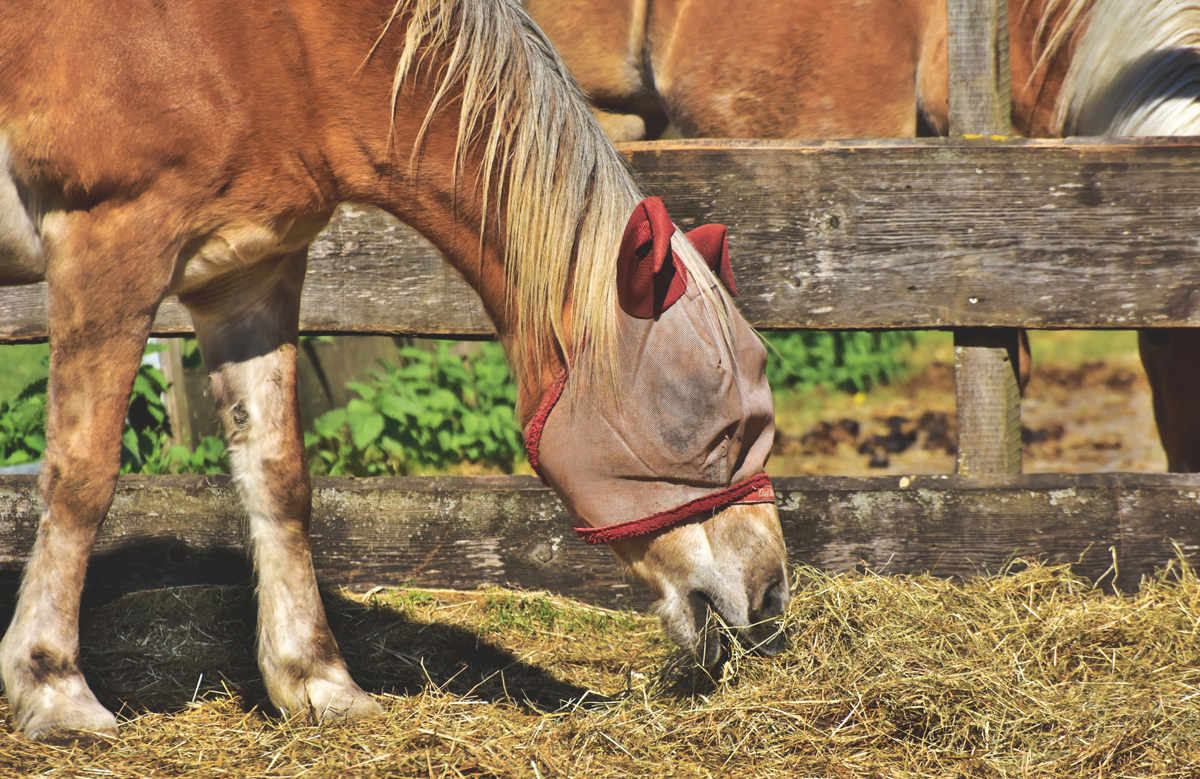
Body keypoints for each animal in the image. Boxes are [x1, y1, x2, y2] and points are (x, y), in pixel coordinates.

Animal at [0, 0, 792, 739]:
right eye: (707, 422)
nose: (771, 596)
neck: (267, 41)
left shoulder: (247, 273)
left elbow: (279, 478)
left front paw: (317, 681)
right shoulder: (109, 244)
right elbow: (82, 477)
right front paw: (53, 687)